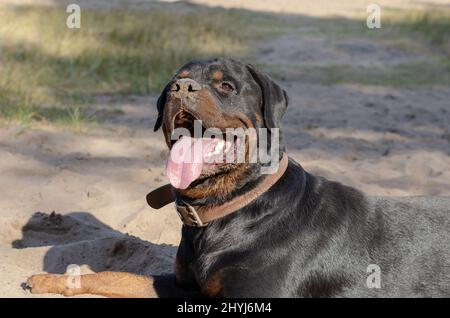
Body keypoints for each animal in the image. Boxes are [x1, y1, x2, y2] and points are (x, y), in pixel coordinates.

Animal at [26, 57, 448, 298]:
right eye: (174, 82)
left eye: (226, 85)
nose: (181, 87)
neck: (230, 209)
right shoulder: (184, 286)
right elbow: (117, 274)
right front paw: (53, 281)